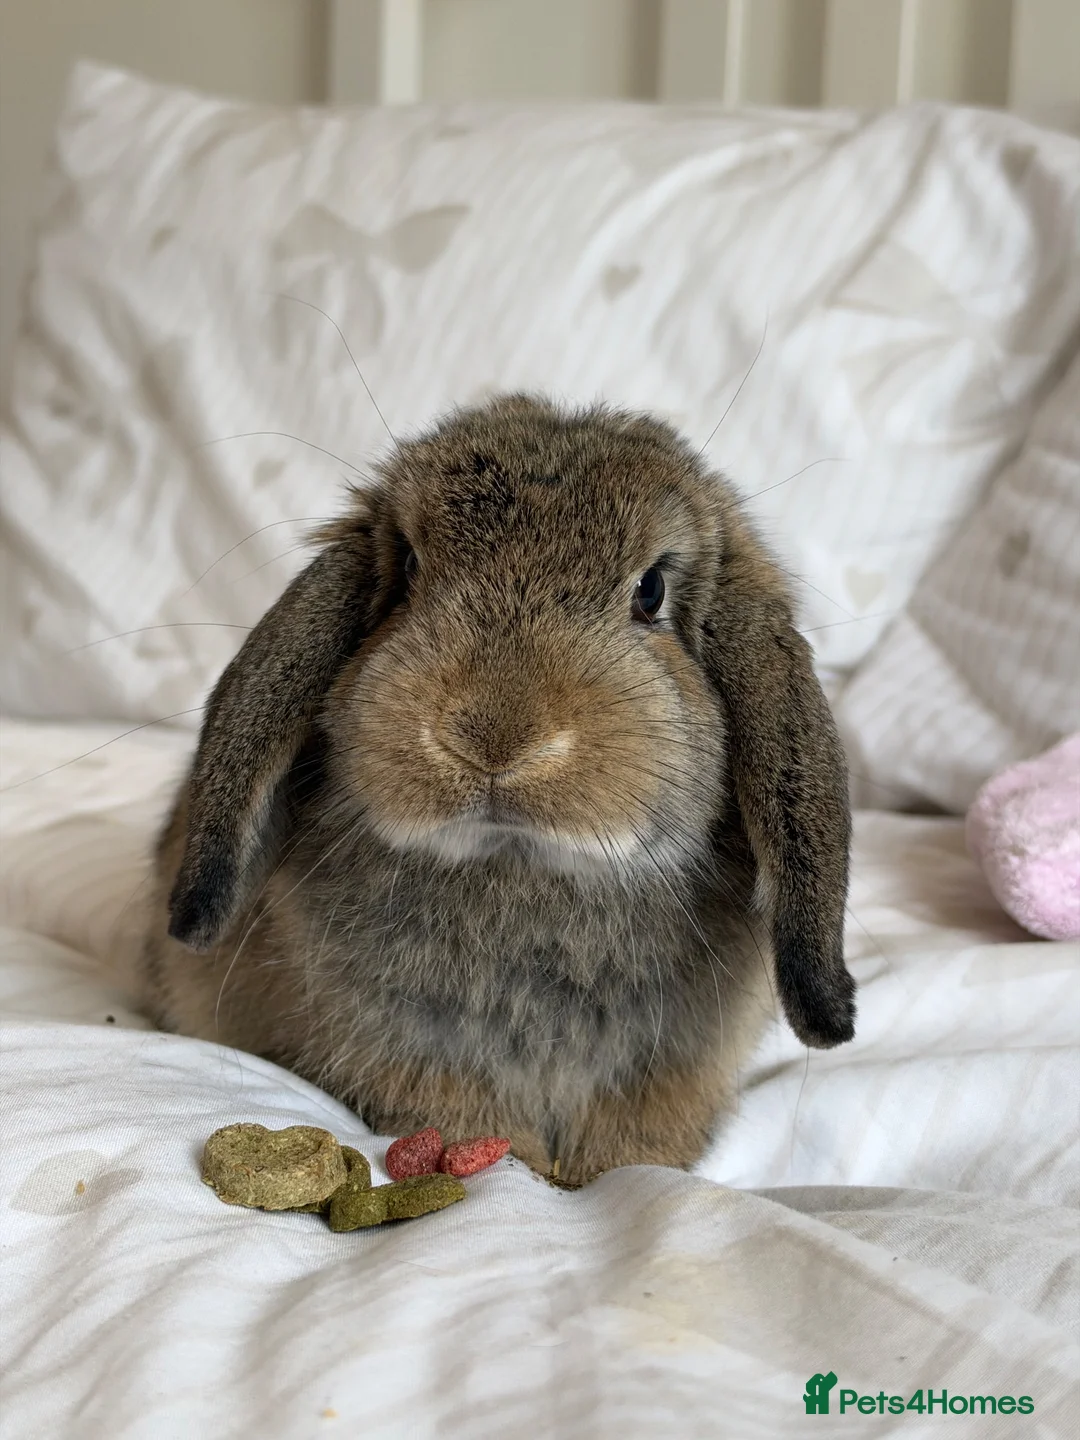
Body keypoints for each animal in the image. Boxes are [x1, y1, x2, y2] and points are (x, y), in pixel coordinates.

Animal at [142, 393, 855, 1185]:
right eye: (410, 568)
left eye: (651, 591)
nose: (493, 736)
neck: (519, 865)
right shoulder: (409, 1055)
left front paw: (613, 1174)